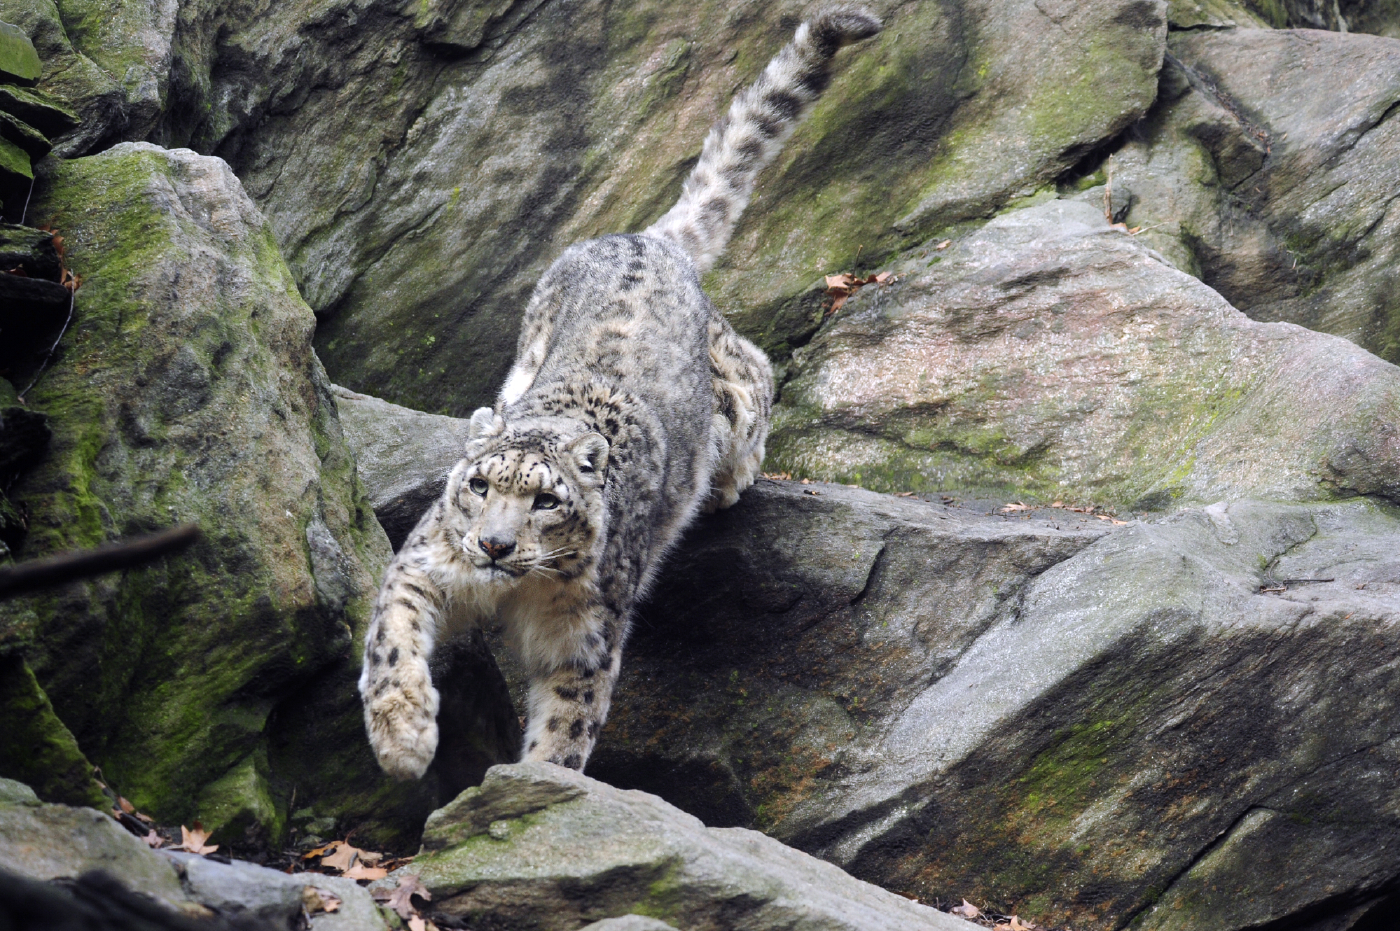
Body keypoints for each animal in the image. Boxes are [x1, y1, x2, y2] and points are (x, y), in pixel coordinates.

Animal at [359, 6, 882, 778]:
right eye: (480, 486)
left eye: (546, 502)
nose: (493, 545)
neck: (513, 596)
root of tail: (643, 238)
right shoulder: (425, 563)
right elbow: (392, 636)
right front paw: (403, 738)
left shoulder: (585, 640)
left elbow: (563, 732)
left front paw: (533, 787)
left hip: (727, 391)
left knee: (755, 370)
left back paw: (734, 474)